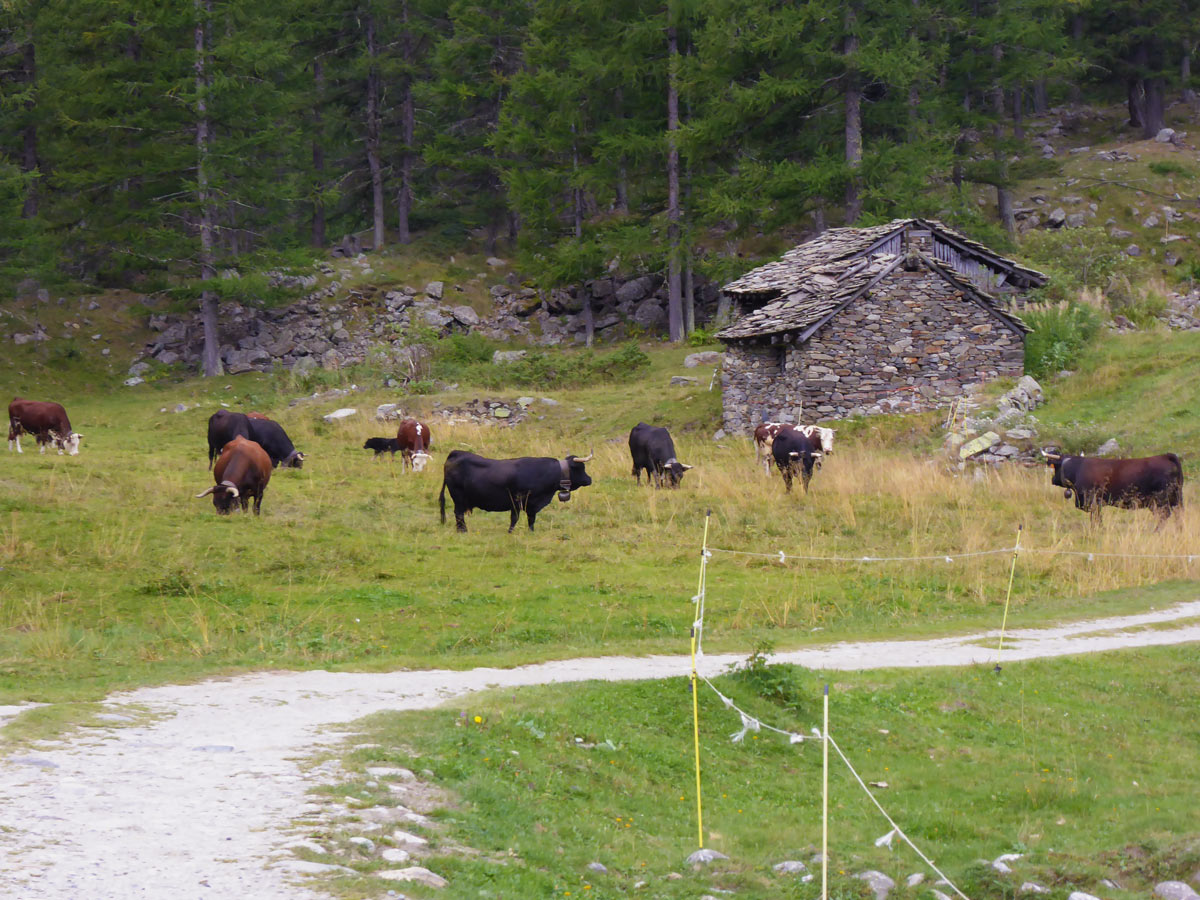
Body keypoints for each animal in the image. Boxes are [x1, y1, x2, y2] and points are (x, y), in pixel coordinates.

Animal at [439, 448, 592, 532]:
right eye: (580, 468)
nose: (589, 479)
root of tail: (456, 453)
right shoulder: (518, 500)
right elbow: (516, 518)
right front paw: (511, 532)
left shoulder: (530, 504)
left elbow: (531, 519)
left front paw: (531, 532)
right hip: (458, 497)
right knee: (459, 514)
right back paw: (463, 531)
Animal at [1041, 453, 1180, 525]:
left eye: (1056, 467)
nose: (1053, 479)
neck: (1079, 469)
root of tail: (1165, 456)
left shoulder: (1092, 501)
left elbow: (1096, 519)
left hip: (1161, 500)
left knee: (1164, 516)